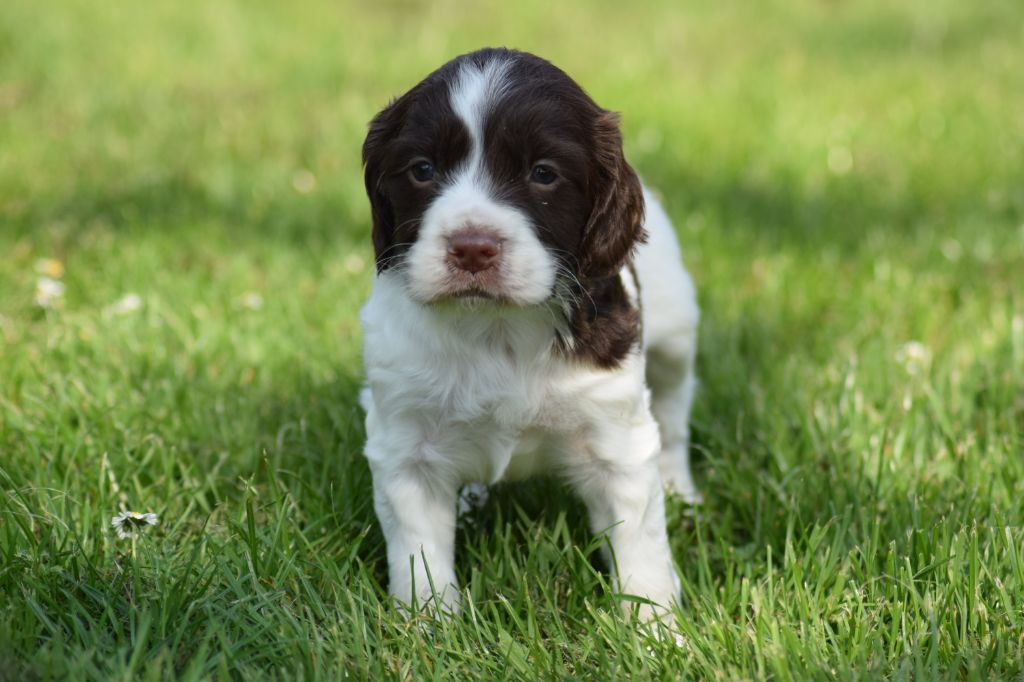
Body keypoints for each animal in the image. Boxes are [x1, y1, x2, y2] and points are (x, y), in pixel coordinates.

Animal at [360, 46, 704, 622]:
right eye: (422, 169)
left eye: (543, 174)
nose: (472, 248)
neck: (497, 326)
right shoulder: (407, 447)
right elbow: (419, 556)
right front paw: (428, 628)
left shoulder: (616, 443)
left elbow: (641, 551)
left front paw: (656, 632)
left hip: (676, 335)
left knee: (674, 414)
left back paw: (682, 489)